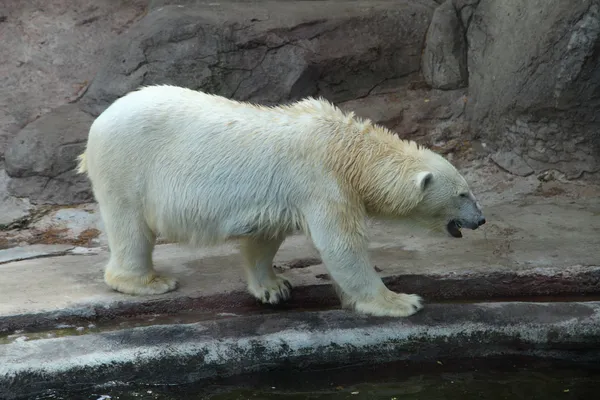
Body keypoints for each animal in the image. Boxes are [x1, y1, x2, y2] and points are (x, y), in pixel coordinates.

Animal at [77, 85, 486, 318]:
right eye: (463, 194)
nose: (480, 219)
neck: (348, 151)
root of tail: (97, 123)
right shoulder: (322, 182)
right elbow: (342, 247)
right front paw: (402, 302)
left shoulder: (281, 195)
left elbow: (263, 240)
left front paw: (274, 288)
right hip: (126, 165)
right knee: (130, 226)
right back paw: (149, 282)